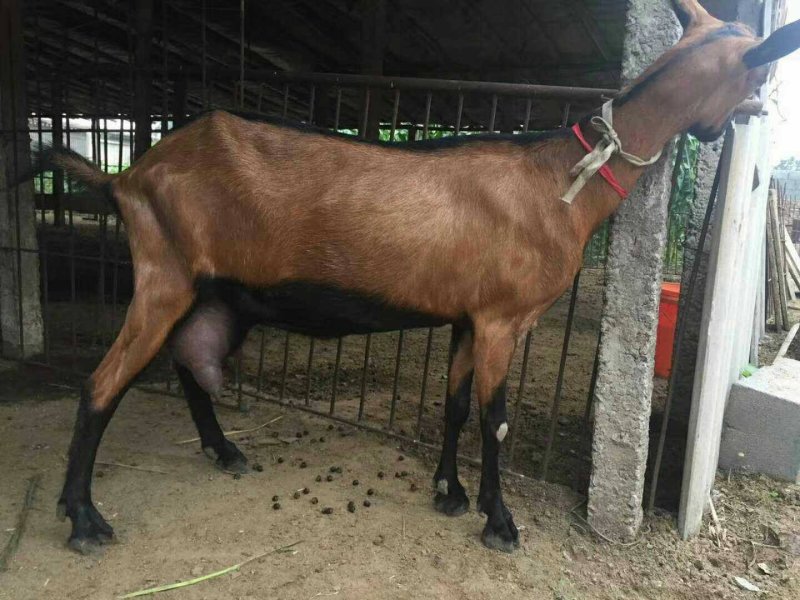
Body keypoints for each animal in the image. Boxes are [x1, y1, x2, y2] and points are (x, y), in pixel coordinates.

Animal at [32, 0, 800, 554]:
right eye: (755, 71)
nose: (764, 108)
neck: (564, 180)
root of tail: (128, 176)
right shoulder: (504, 318)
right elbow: (495, 420)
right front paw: (499, 522)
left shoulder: (469, 317)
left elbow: (456, 407)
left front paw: (448, 492)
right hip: (163, 274)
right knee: (102, 385)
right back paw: (83, 519)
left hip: (215, 290)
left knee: (190, 363)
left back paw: (224, 452)